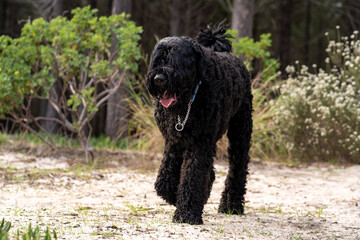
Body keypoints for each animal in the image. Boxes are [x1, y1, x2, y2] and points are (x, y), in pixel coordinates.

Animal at [146, 23, 253, 225]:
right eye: (158, 59)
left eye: (176, 60)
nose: (159, 79)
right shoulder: (173, 141)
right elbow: (164, 181)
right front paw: (175, 198)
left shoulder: (199, 142)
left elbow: (192, 176)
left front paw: (186, 213)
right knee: (211, 173)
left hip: (240, 132)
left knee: (238, 168)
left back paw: (231, 205)